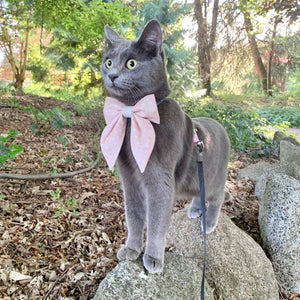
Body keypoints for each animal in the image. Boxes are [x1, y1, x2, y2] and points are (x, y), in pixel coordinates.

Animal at [101, 19, 230, 274]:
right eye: (108, 61)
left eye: (131, 63)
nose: (112, 75)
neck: (132, 114)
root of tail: (222, 127)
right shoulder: (128, 178)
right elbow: (133, 215)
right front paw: (131, 249)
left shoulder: (159, 178)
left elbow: (156, 222)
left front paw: (152, 258)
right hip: (196, 175)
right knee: (199, 192)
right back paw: (195, 210)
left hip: (215, 177)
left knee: (217, 196)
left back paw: (209, 222)